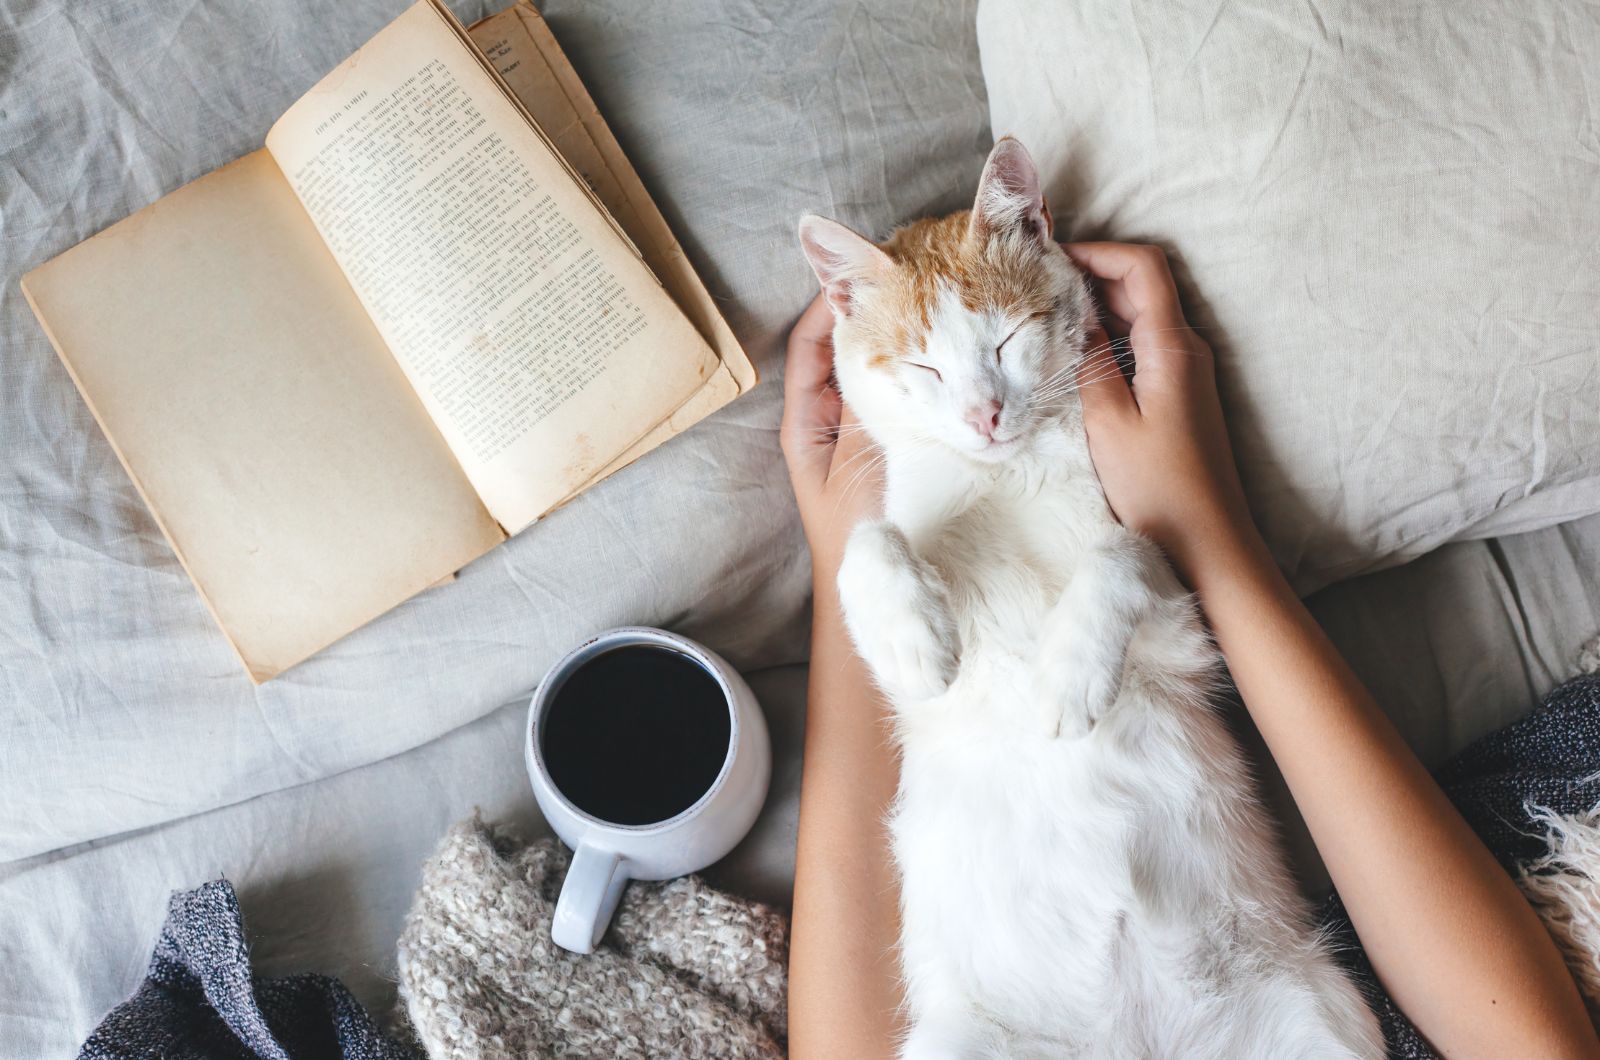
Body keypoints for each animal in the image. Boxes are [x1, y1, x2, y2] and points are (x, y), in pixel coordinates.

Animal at [800, 136, 1388, 1056]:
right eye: (924, 366)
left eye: (1006, 340)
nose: (984, 415)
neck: (1013, 479)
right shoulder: (910, 674)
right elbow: (868, 545)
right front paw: (915, 637)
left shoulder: (1185, 627)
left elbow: (1121, 552)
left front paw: (1070, 674)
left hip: (1316, 1015)